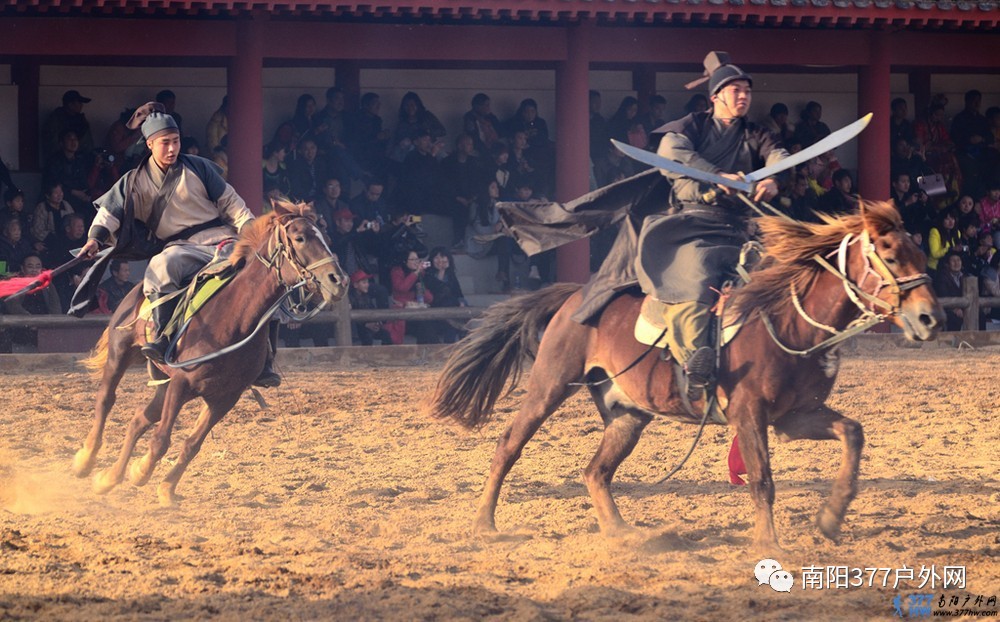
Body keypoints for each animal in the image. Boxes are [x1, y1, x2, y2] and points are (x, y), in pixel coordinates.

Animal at [69, 202, 344, 510]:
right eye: (300, 238)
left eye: (324, 237)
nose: (338, 280)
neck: (233, 318)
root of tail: (137, 290)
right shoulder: (181, 383)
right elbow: (162, 440)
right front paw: (141, 472)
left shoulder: (224, 397)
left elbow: (192, 444)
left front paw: (165, 487)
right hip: (121, 352)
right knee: (106, 400)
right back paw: (86, 460)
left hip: (164, 387)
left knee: (139, 419)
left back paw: (110, 477)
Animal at [430, 202, 944, 552]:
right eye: (890, 255)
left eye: (921, 253)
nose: (929, 319)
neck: (785, 320)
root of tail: (576, 296)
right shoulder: (749, 413)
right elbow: (762, 479)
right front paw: (768, 544)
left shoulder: (794, 416)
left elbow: (852, 434)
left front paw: (832, 517)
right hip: (549, 385)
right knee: (509, 445)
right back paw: (485, 524)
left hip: (628, 413)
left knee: (596, 471)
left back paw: (622, 533)